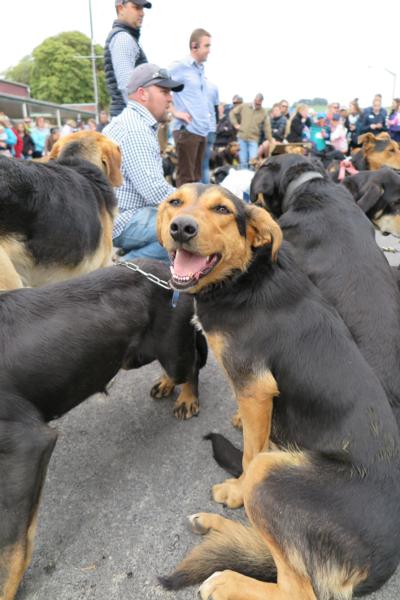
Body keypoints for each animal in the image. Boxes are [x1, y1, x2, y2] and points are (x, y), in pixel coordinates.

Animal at [0, 262, 208, 600]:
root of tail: (167, 270)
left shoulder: (26, 444)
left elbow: (11, 540)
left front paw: (6, 585)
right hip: (131, 357)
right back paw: (166, 384)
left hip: (172, 350)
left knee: (190, 366)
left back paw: (187, 397)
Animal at [156, 184, 400, 600]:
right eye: (175, 202)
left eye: (222, 210)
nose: (181, 228)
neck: (242, 279)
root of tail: (381, 564)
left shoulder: (255, 388)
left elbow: (248, 453)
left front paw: (237, 492)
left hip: (270, 474)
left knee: (295, 588)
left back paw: (226, 578)